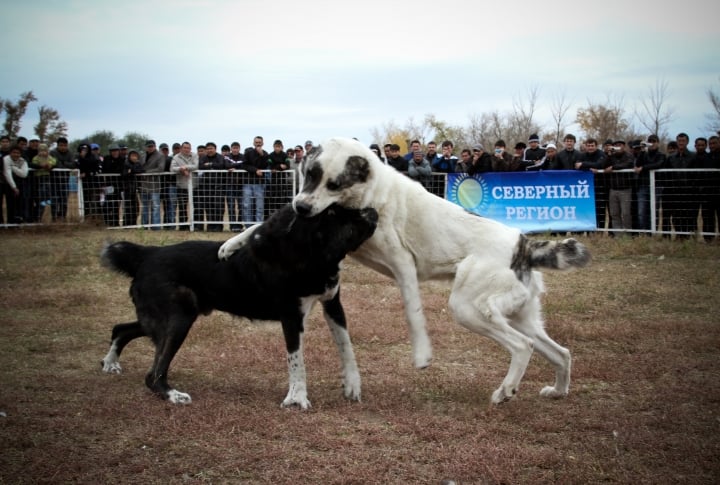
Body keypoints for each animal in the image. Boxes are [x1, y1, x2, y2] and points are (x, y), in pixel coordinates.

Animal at [103, 202, 380, 406]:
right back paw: (172, 395)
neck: (309, 253)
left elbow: (346, 346)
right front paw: (297, 398)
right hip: (179, 318)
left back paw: (110, 362)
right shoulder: (291, 317)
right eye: (333, 214)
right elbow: (296, 361)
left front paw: (352, 385)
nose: (370, 209)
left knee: (121, 328)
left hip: (170, 317)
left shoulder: (333, 304)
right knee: (153, 374)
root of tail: (147, 254)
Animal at [221, 135, 592, 400]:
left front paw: (422, 355)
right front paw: (230, 245)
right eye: (309, 175)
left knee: (522, 346)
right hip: (517, 315)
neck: (365, 196)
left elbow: (413, 314)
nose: (301, 206)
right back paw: (558, 391)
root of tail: (523, 244)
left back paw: (505, 391)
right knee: (562, 353)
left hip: (469, 308)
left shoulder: (403, 265)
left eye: (334, 184)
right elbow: (259, 227)